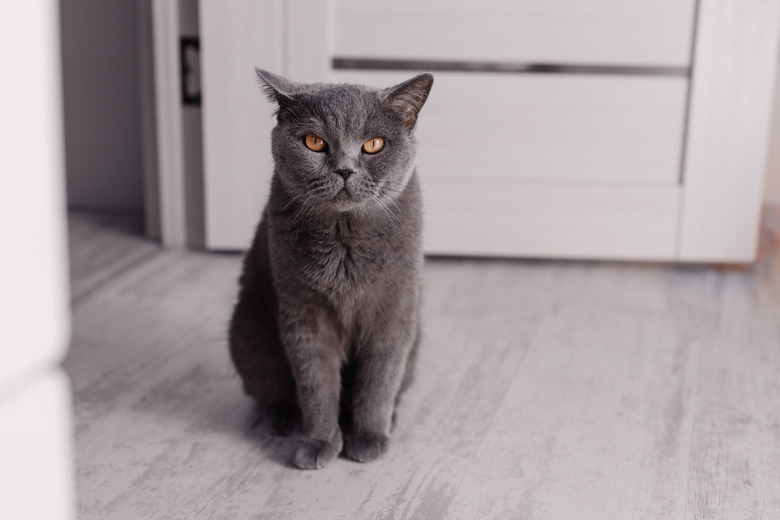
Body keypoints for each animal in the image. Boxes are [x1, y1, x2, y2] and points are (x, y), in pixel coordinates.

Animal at [229, 67, 432, 470]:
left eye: (373, 145)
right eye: (313, 142)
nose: (345, 170)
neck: (345, 241)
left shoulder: (395, 313)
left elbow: (379, 381)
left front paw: (368, 436)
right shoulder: (304, 314)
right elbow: (316, 383)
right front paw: (319, 441)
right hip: (247, 335)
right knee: (268, 387)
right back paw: (284, 418)